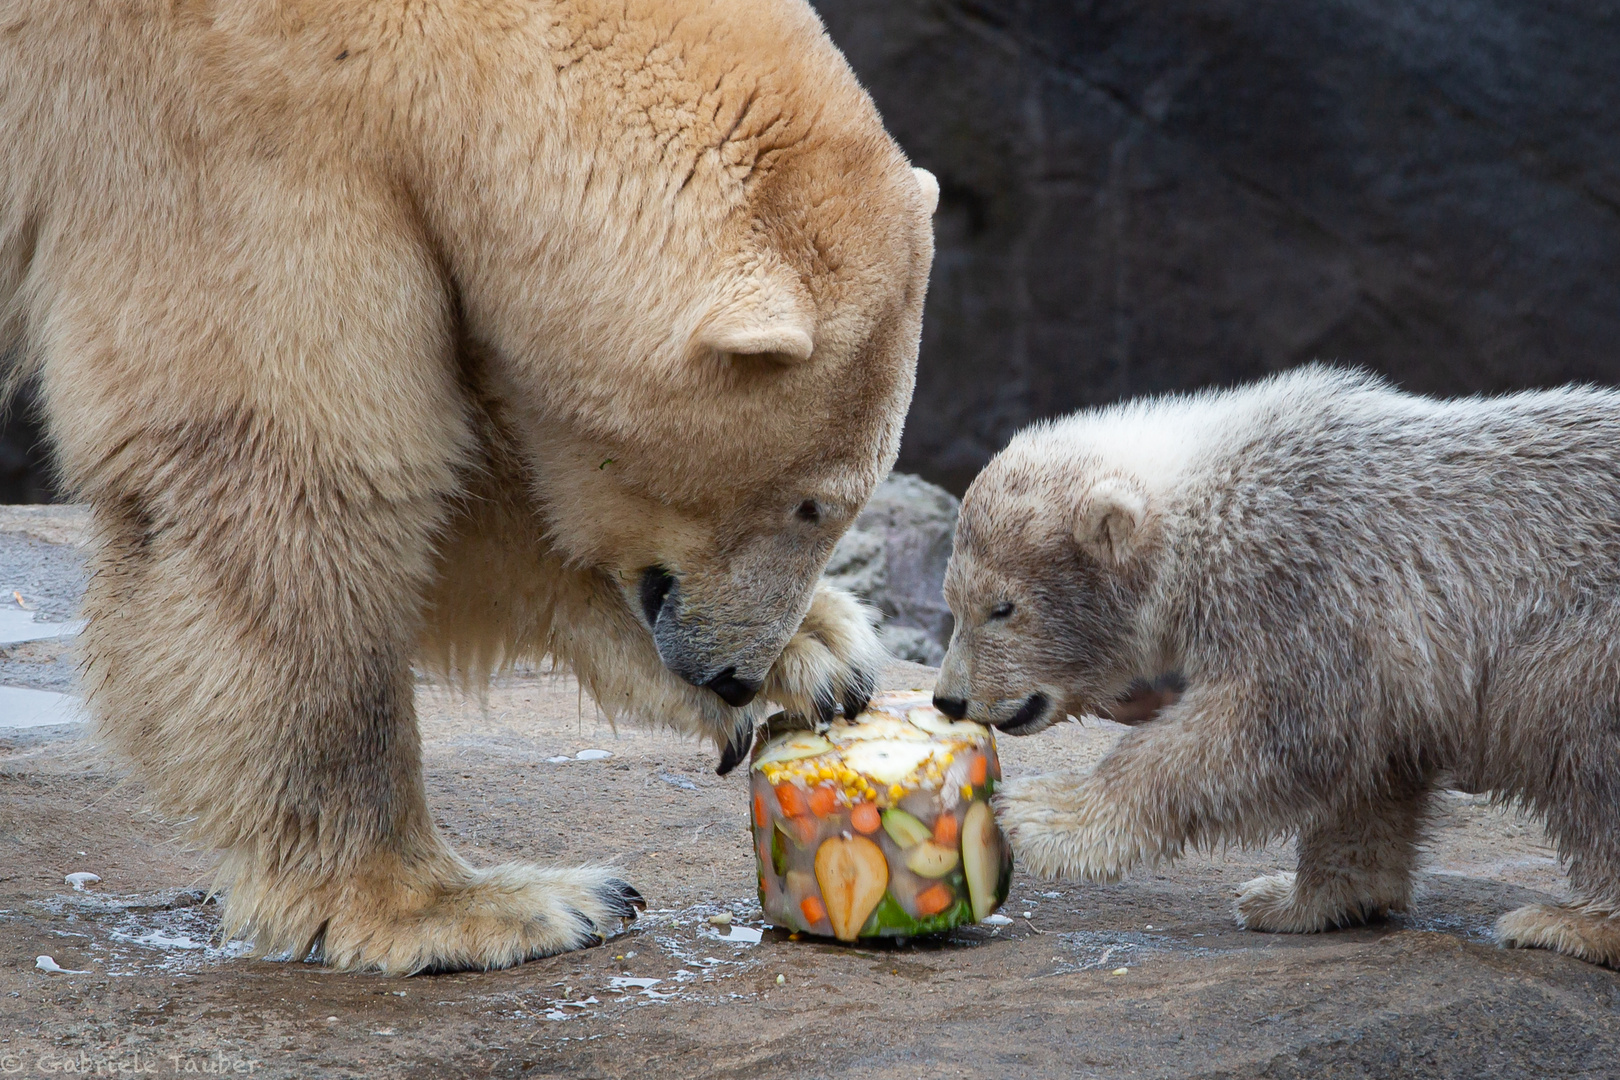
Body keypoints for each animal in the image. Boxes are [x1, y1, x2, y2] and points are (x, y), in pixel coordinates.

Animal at [0, 0, 939, 977]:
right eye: (811, 504)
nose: (732, 671)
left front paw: (819, 657)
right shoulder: (222, 135)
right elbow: (297, 470)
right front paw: (479, 905)